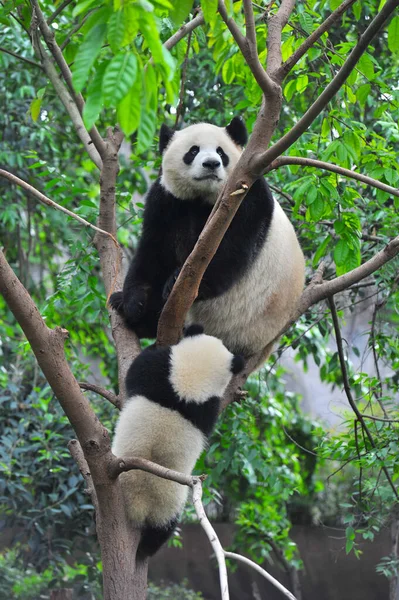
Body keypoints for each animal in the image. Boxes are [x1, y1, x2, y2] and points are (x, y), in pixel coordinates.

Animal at [110, 115, 306, 364]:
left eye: (221, 152)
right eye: (193, 151)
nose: (211, 164)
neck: (203, 198)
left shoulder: (248, 198)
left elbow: (229, 255)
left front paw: (175, 280)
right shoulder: (166, 200)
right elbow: (152, 252)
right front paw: (134, 304)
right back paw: (125, 307)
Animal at [111, 324, 245, 556]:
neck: (189, 385)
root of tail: (140, 507)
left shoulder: (163, 374)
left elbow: (137, 369)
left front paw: (152, 346)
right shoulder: (197, 402)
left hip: (170, 501)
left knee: (164, 528)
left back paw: (144, 551)